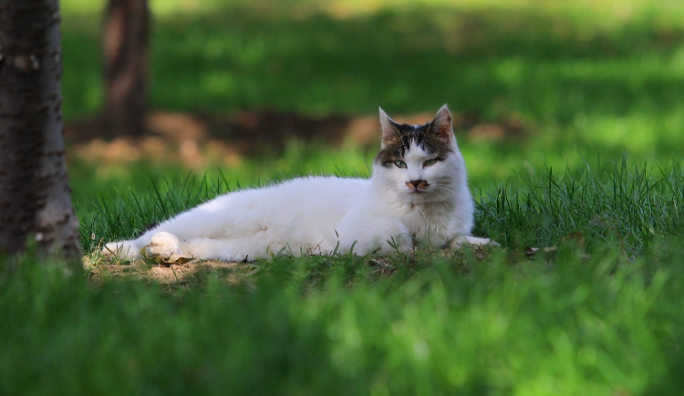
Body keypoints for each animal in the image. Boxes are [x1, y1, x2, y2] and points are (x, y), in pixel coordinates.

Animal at [101, 104, 494, 262]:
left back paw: (166, 250)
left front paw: (480, 244)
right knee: (154, 232)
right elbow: (399, 235)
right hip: (214, 216)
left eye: (429, 162)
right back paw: (120, 249)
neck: (424, 212)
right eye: (400, 163)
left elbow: (455, 240)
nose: (415, 182)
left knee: (193, 245)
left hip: (245, 248)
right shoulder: (354, 232)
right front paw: (412, 243)